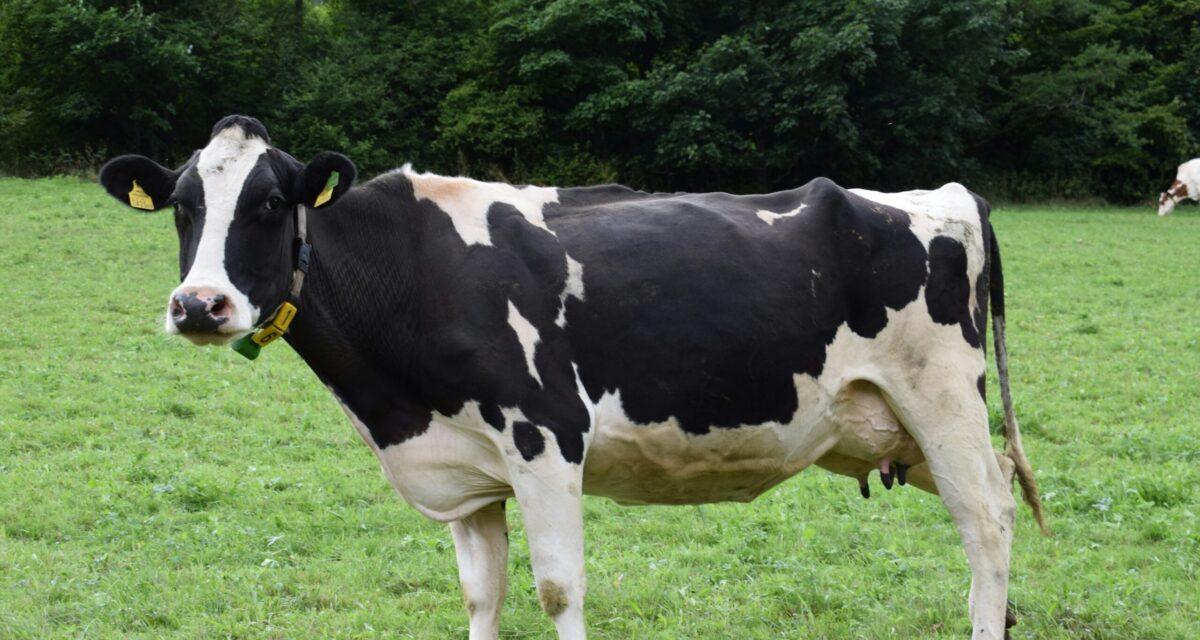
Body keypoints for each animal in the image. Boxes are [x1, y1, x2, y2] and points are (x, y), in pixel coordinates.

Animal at [98, 115, 1048, 640]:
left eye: (268, 204)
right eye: (183, 206)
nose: (199, 304)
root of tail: (947, 194)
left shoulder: (546, 437)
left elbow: (558, 588)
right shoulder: (468, 473)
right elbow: (481, 595)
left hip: (943, 405)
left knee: (988, 521)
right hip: (899, 430)